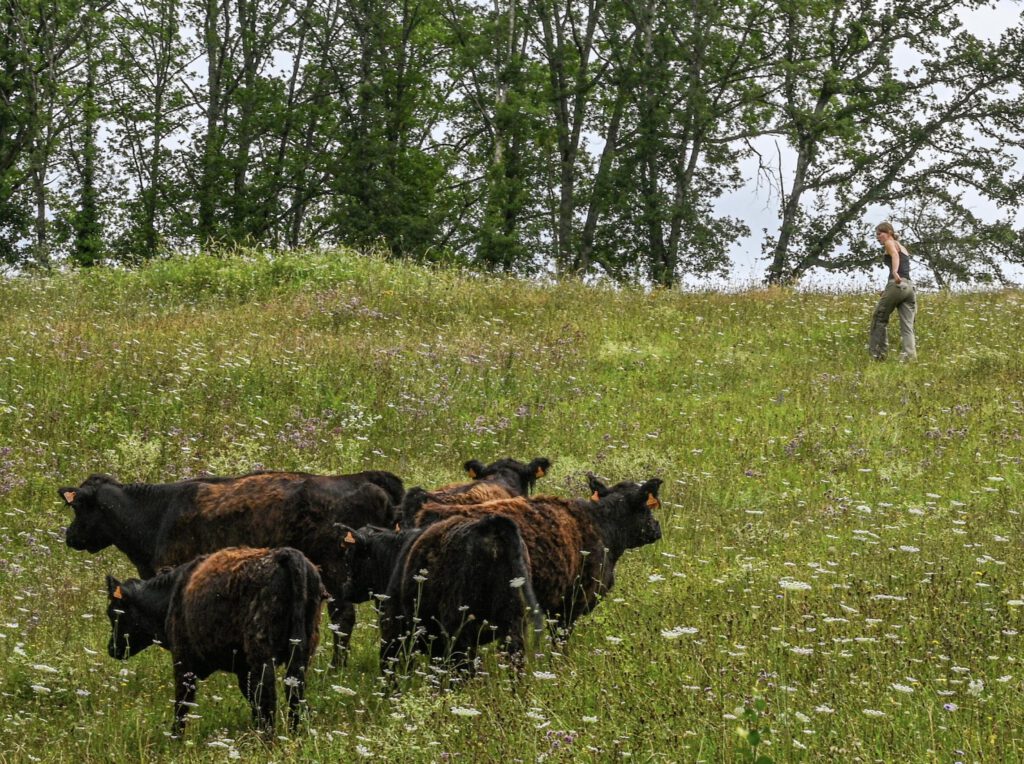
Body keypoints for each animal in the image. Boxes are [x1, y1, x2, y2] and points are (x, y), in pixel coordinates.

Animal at [56, 467, 399, 663]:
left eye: (78, 508)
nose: (70, 536)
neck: (156, 515)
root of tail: (364, 478)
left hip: (338, 574)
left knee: (344, 618)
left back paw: (336, 668)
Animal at [103, 544, 319, 729]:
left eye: (113, 613)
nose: (112, 649)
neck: (171, 594)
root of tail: (284, 554)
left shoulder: (183, 661)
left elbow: (182, 706)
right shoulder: (243, 669)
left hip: (262, 655)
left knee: (268, 703)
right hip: (300, 656)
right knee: (296, 702)